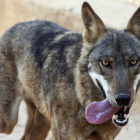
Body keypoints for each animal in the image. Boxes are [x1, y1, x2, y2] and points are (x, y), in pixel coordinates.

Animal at [0, 1, 140, 140]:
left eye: (133, 61)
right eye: (105, 62)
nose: (123, 99)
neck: (82, 97)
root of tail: (14, 26)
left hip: (41, 124)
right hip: (9, 121)